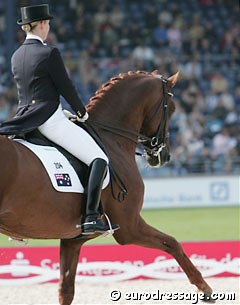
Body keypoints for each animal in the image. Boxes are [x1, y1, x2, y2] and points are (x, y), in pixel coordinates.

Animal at [0, 70, 214, 304]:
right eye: (173, 108)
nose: (163, 156)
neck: (111, 139)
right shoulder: (129, 227)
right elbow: (172, 243)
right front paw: (205, 289)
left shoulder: (73, 240)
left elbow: (66, 290)